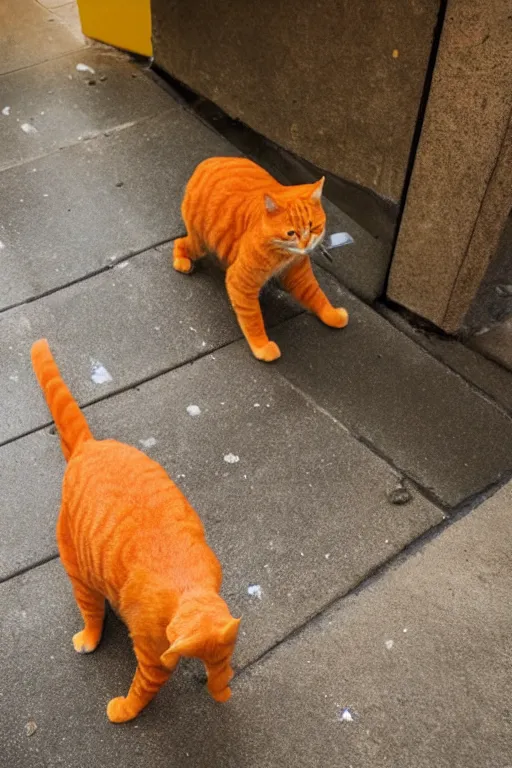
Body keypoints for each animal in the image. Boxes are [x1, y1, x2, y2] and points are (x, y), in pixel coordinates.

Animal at [31, 340, 240, 724]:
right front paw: (124, 711)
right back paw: (89, 636)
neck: (189, 585)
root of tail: (90, 445)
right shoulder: (154, 659)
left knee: (92, 608)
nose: (221, 694)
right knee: (92, 613)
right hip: (76, 566)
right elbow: (141, 691)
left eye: (221, 663)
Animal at [174, 157, 350, 364]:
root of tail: (207, 162)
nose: (306, 244)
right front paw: (261, 346)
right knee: (180, 243)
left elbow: (316, 295)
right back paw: (182, 261)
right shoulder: (241, 283)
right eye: (291, 233)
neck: (284, 254)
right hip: (199, 245)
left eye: (313, 227)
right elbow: (253, 320)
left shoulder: (298, 275)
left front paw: (331, 314)